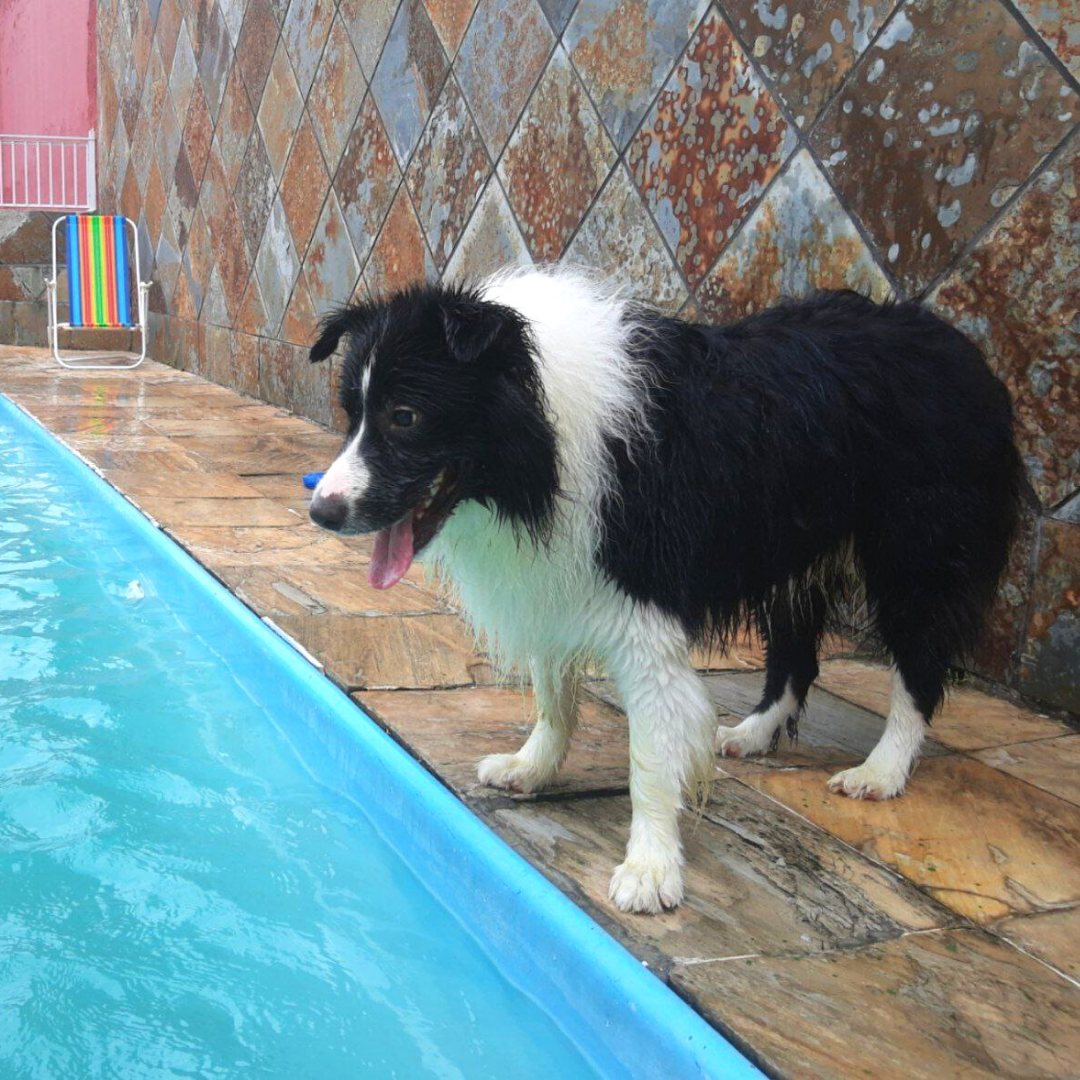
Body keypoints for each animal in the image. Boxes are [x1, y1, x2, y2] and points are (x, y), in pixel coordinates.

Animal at [306, 267, 1019, 911]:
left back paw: (882, 770)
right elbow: (553, 693)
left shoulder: (643, 602)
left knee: (919, 660)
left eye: (405, 416)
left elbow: (650, 754)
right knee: (797, 650)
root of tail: (956, 343)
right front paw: (532, 767)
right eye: (351, 414)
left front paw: (650, 869)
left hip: (917, 543)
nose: (322, 512)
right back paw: (754, 734)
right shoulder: (556, 573)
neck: (542, 438)